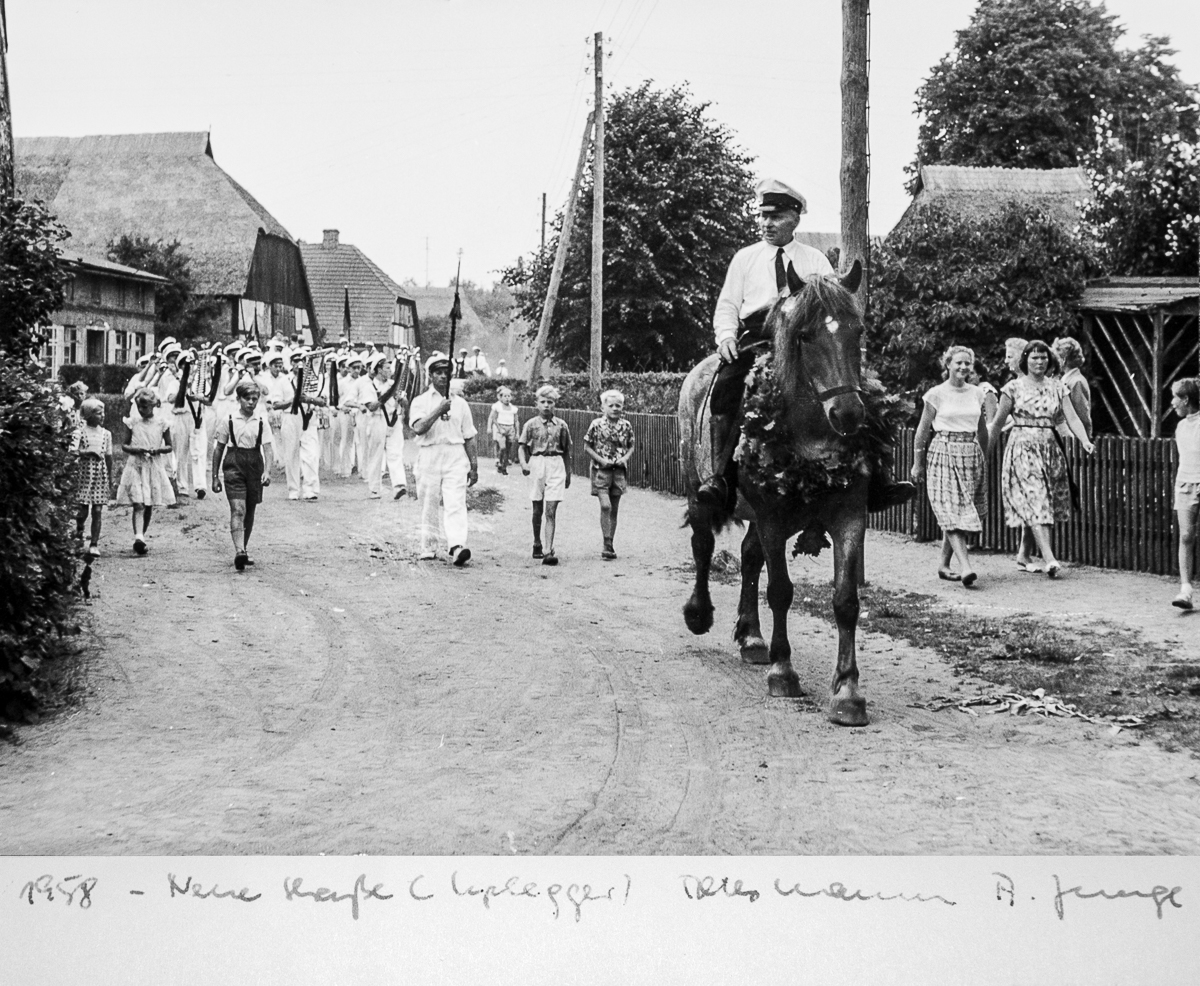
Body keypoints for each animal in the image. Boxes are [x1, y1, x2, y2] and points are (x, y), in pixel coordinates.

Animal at [686, 262, 873, 724]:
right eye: (805, 336)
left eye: (857, 330)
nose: (848, 414)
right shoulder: (772, 519)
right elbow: (781, 592)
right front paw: (783, 671)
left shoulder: (849, 518)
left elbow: (846, 601)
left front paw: (848, 692)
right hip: (697, 488)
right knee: (702, 544)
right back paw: (699, 613)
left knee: (750, 558)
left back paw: (753, 638)